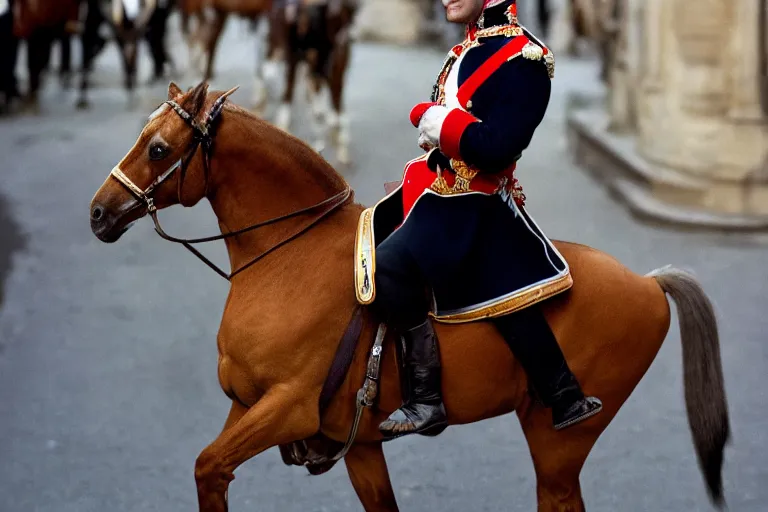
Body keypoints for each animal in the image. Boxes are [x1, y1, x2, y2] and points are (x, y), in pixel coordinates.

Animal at [87, 82, 728, 510]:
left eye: (159, 148)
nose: (97, 213)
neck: (288, 256)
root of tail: (647, 281)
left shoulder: (286, 406)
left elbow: (209, 468)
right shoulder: (324, 433)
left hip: (557, 444)